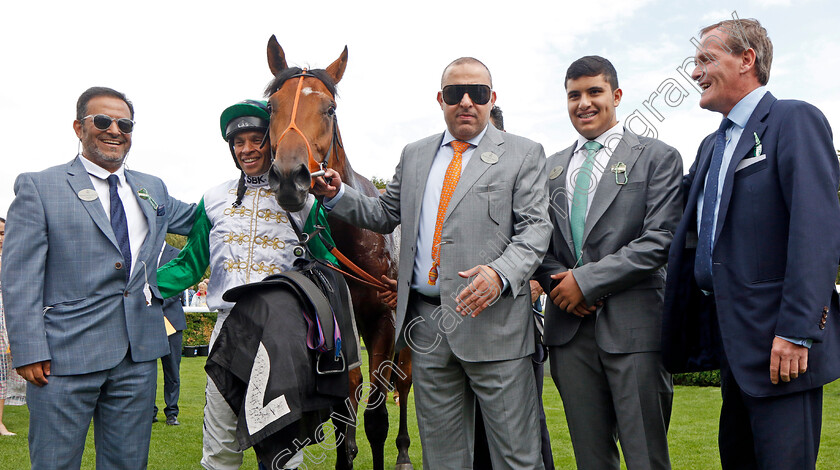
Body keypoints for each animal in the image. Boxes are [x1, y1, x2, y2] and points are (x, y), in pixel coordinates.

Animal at [264, 36, 416, 470]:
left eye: (329, 109)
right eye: (272, 106)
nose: (289, 176)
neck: (355, 239)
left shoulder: (384, 320)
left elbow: (376, 415)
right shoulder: (339, 323)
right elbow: (344, 404)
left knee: (404, 382)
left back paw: (403, 451)